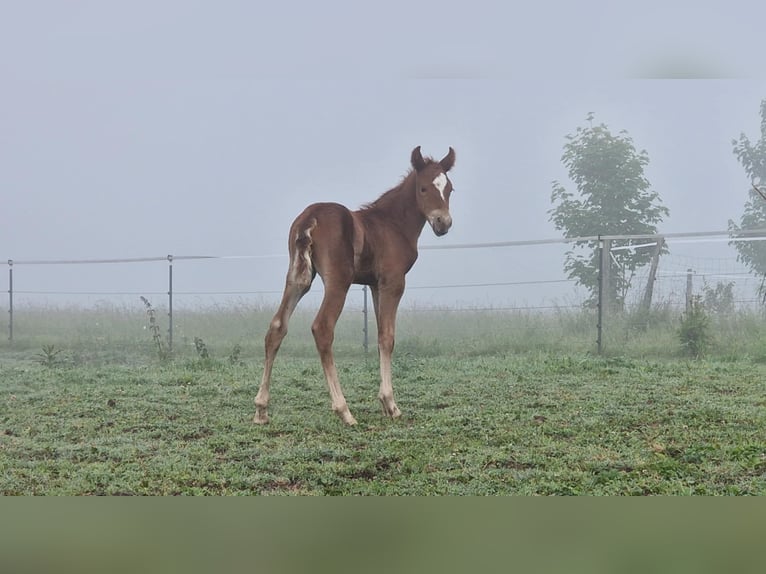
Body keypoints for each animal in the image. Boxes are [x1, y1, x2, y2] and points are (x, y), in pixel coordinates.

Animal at [254, 146, 456, 425]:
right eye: (424, 188)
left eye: (450, 189)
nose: (443, 223)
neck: (392, 223)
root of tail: (309, 218)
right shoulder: (393, 282)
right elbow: (388, 337)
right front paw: (391, 404)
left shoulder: (375, 285)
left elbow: (381, 335)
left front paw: (384, 403)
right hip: (338, 282)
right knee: (322, 328)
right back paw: (344, 410)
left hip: (297, 279)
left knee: (277, 327)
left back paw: (261, 409)